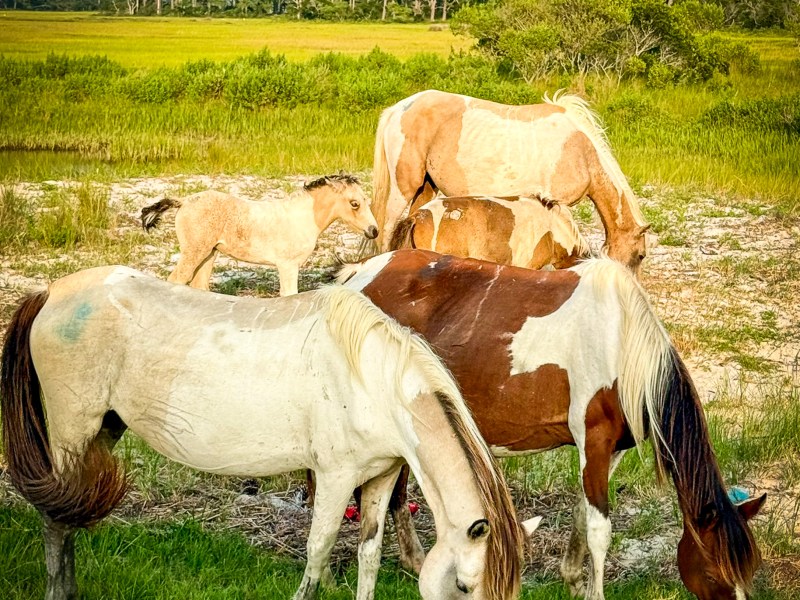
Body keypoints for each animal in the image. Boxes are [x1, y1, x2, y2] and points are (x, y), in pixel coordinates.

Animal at [0, 266, 533, 600]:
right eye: (463, 585)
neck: (372, 378)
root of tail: (51, 292)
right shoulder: (335, 478)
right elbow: (318, 553)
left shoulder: (380, 478)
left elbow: (369, 554)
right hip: (72, 430)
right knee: (55, 516)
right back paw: (59, 591)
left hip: (104, 430)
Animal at [140, 174, 378, 296]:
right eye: (354, 204)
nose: (373, 231)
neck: (303, 217)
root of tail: (183, 201)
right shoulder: (288, 266)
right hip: (194, 252)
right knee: (176, 280)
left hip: (209, 254)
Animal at [337, 249, 765, 600]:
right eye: (714, 575)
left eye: (749, 573)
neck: (622, 344)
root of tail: (360, 274)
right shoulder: (593, 440)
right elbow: (599, 532)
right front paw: (594, 593)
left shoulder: (609, 451)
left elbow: (582, 516)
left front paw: (574, 580)